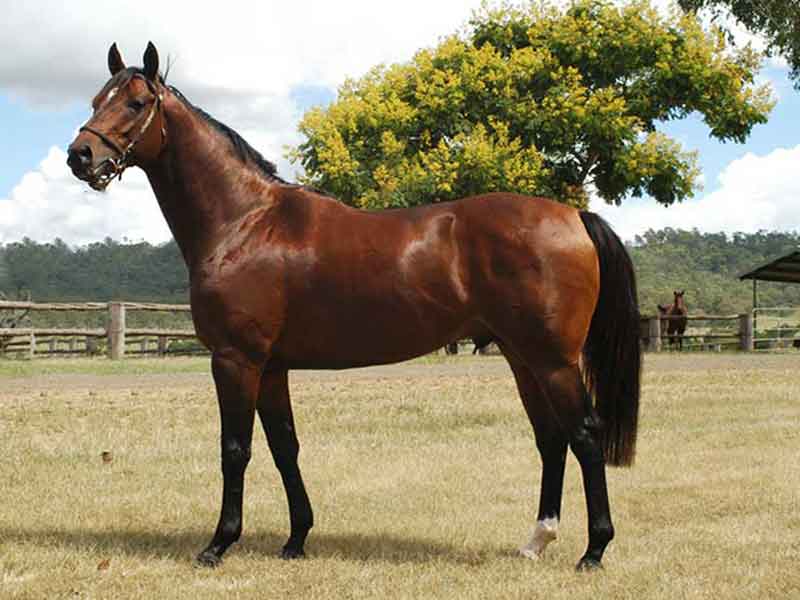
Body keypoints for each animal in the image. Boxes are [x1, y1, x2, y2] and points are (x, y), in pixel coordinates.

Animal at [66, 42, 641, 571]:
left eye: (137, 102)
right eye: (97, 99)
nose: (80, 156)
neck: (245, 221)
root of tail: (574, 216)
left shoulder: (236, 360)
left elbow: (236, 449)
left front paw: (218, 545)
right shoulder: (272, 367)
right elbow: (285, 447)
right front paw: (296, 539)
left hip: (553, 361)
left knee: (584, 436)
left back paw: (594, 550)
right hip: (523, 357)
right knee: (551, 438)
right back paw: (536, 540)